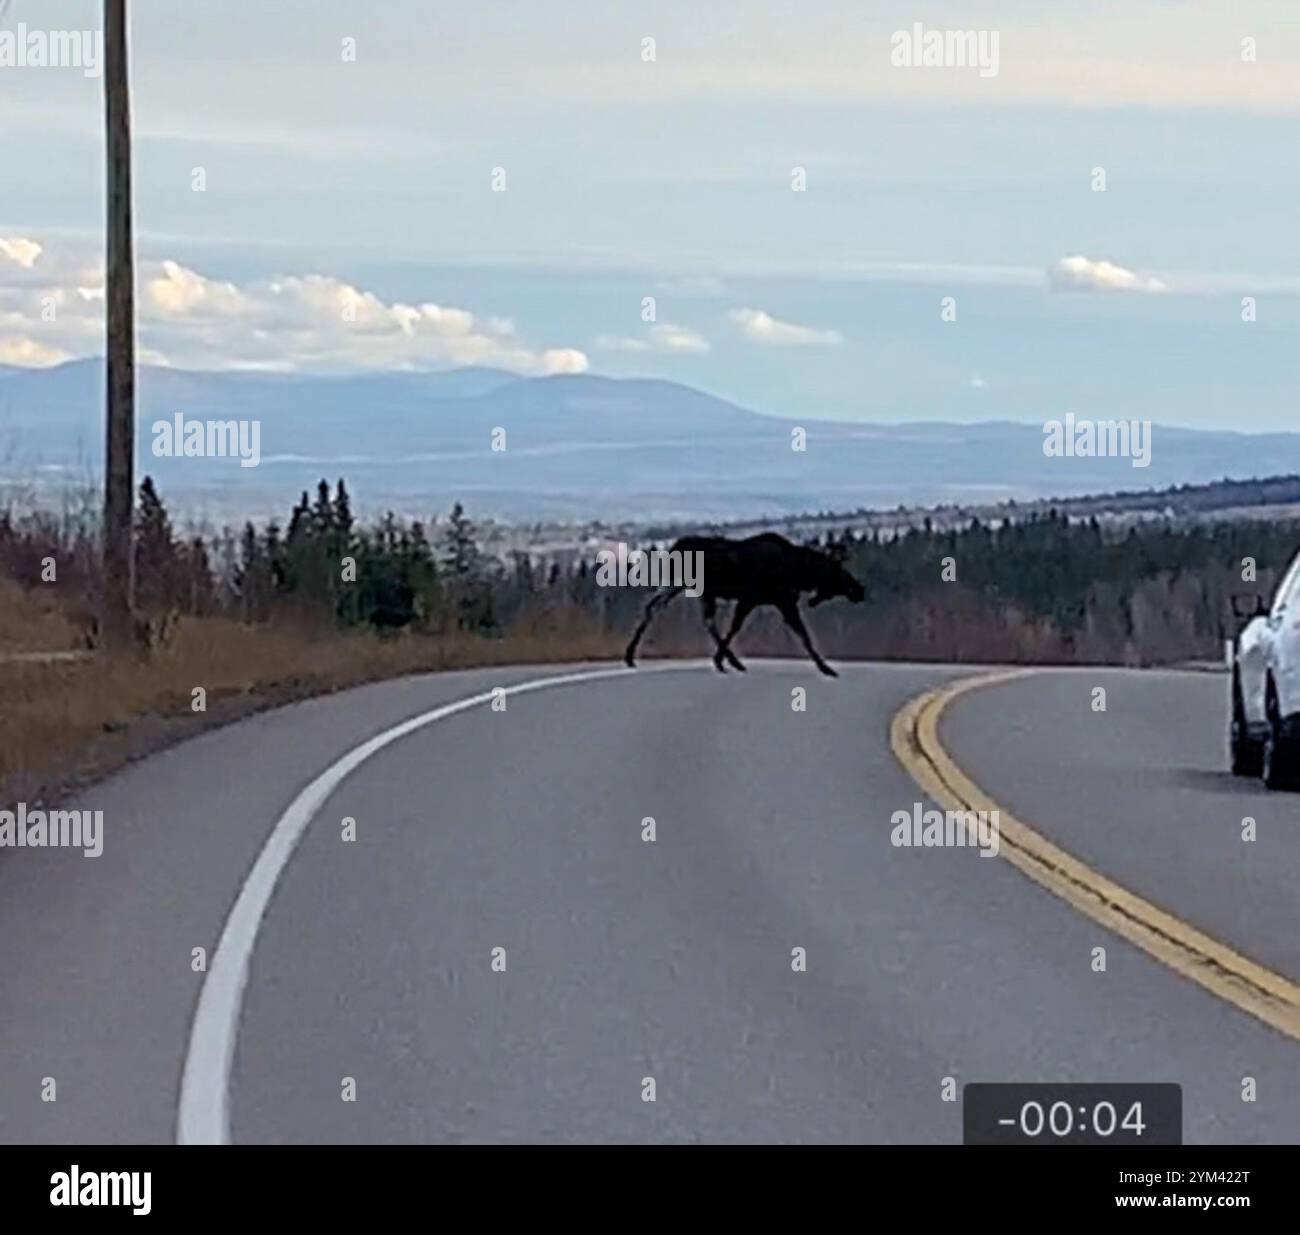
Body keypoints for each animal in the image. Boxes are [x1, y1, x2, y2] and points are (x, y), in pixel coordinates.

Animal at [621, 533, 863, 681]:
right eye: (840, 572)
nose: (859, 590)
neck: (797, 571)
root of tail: (673, 547)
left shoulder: (763, 600)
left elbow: (735, 627)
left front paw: (721, 659)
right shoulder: (765, 599)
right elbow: (802, 633)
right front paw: (826, 668)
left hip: (681, 585)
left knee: (653, 608)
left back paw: (630, 655)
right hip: (687, 585)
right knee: (690, 617)